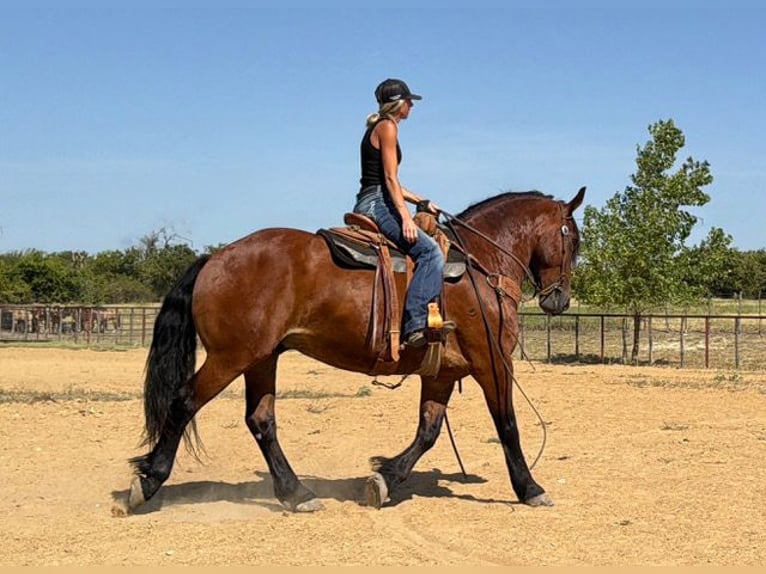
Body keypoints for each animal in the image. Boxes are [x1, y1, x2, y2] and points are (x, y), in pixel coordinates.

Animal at [126, 186, 585, 513]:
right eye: (574, 241)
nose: (559, 299)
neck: (479, 264)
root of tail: (215, 258)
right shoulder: (493, 363)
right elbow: (508, 425)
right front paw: (530, 488)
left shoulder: (442, 372)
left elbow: (428, 431)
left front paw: (385, 478)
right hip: (230, 358)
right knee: (184, 403)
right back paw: (147, 482)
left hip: (261, 359)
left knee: (261, 421)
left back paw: (296, 492)